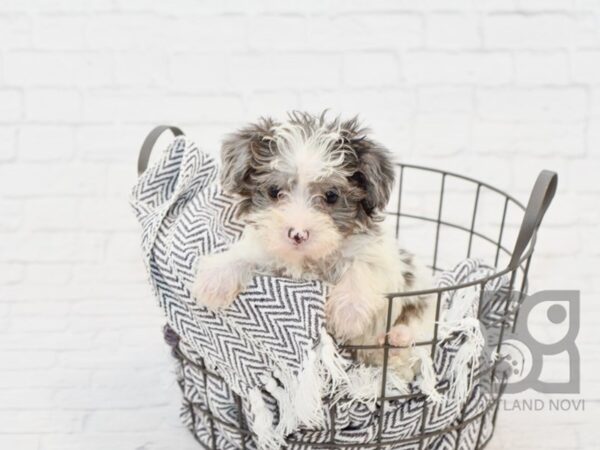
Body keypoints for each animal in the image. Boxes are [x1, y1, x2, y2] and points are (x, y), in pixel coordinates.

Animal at [195, 111, 434, 380]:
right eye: (274, 191)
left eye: (331, 196)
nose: (298, 234)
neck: (308, 259)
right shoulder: (265, 250)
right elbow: (244, 254)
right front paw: (216, 278)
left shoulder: (382, 257)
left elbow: (363, 266)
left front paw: (348, 312)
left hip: (423, 303)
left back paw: (398, 340)